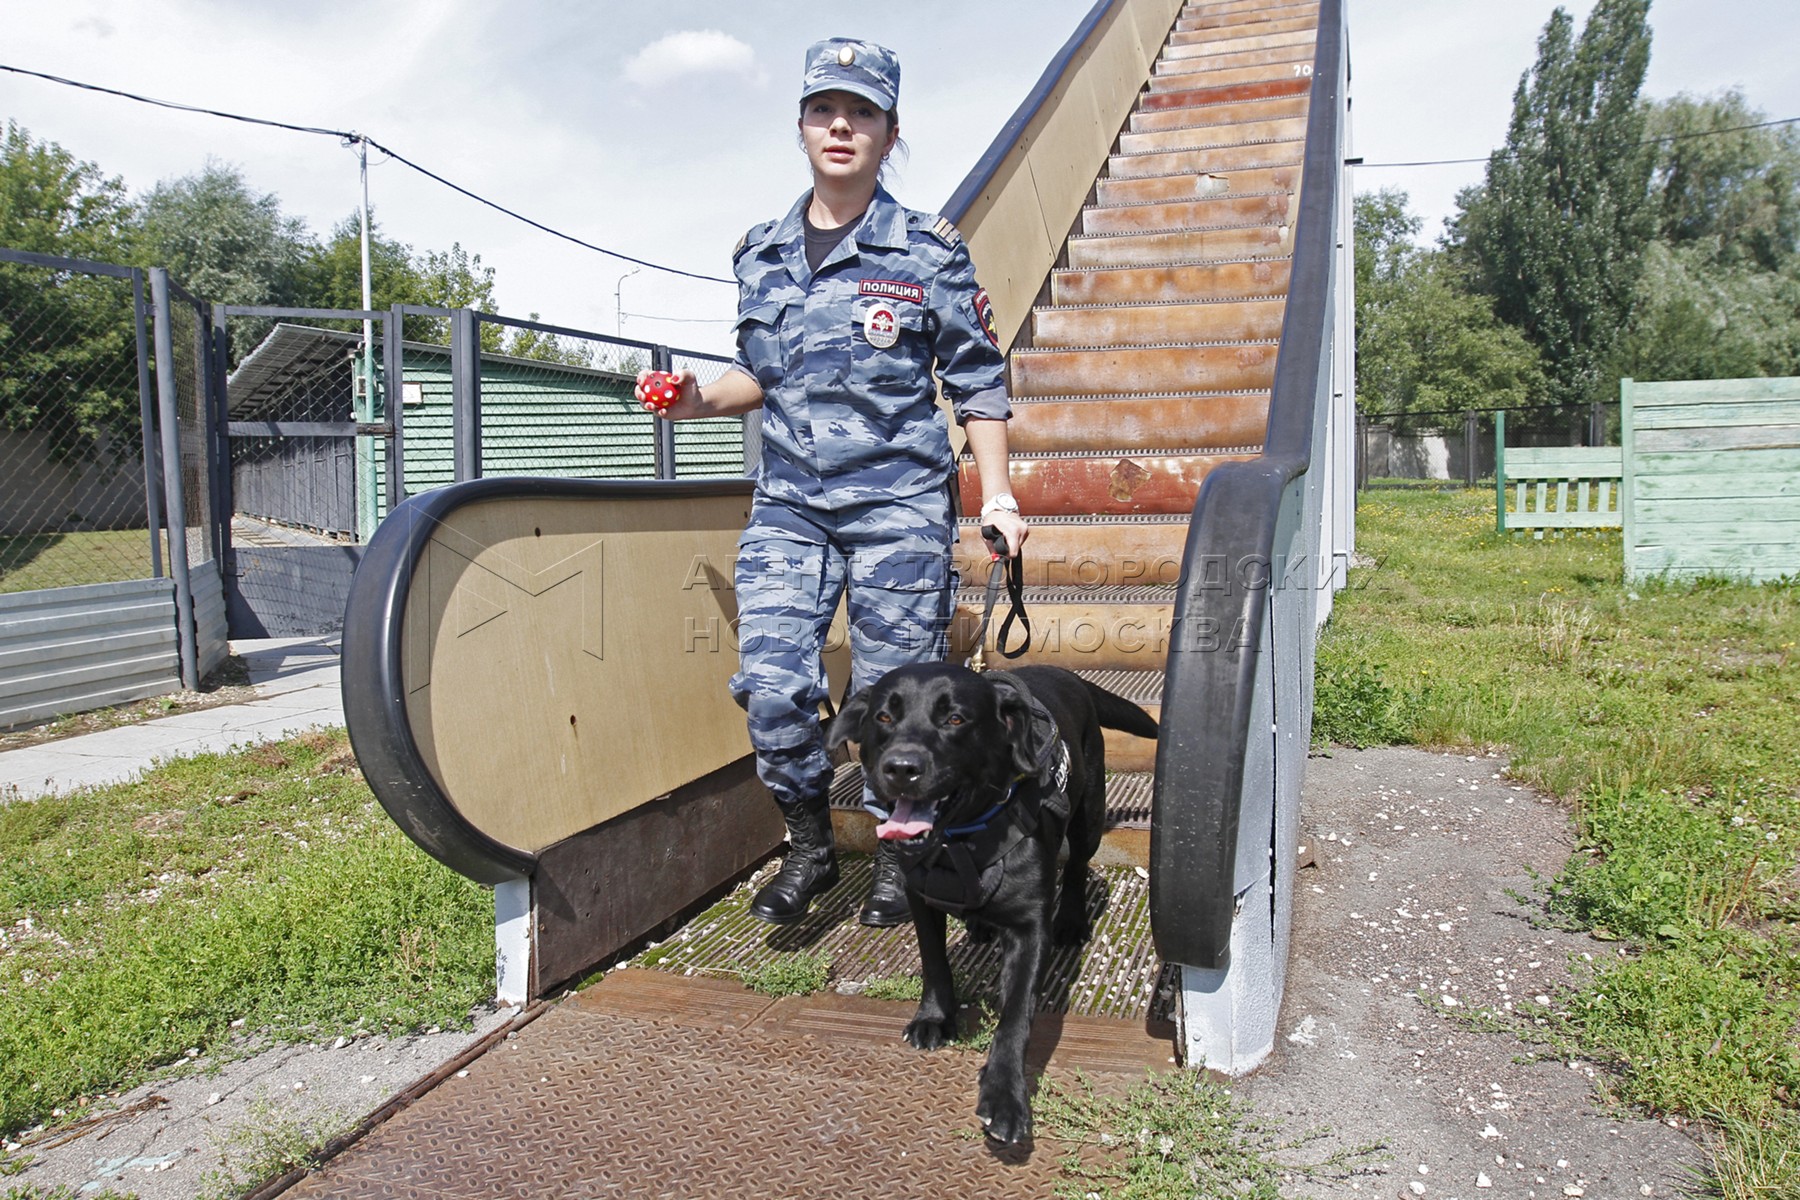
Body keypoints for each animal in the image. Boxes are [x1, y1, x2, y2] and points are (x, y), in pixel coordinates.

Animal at [824, 665, 1152, 1144]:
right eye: (884, 717)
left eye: (956, 719)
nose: (901, 768)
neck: (961, 841)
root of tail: (1066, 674)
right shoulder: (921, 900)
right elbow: (935, 964)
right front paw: (935, 1017)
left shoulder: (1030, 928)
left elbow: (1015, 1017)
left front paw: (1005, 1097)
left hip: (1088, 813)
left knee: (1076, 866)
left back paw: (1071, 921)